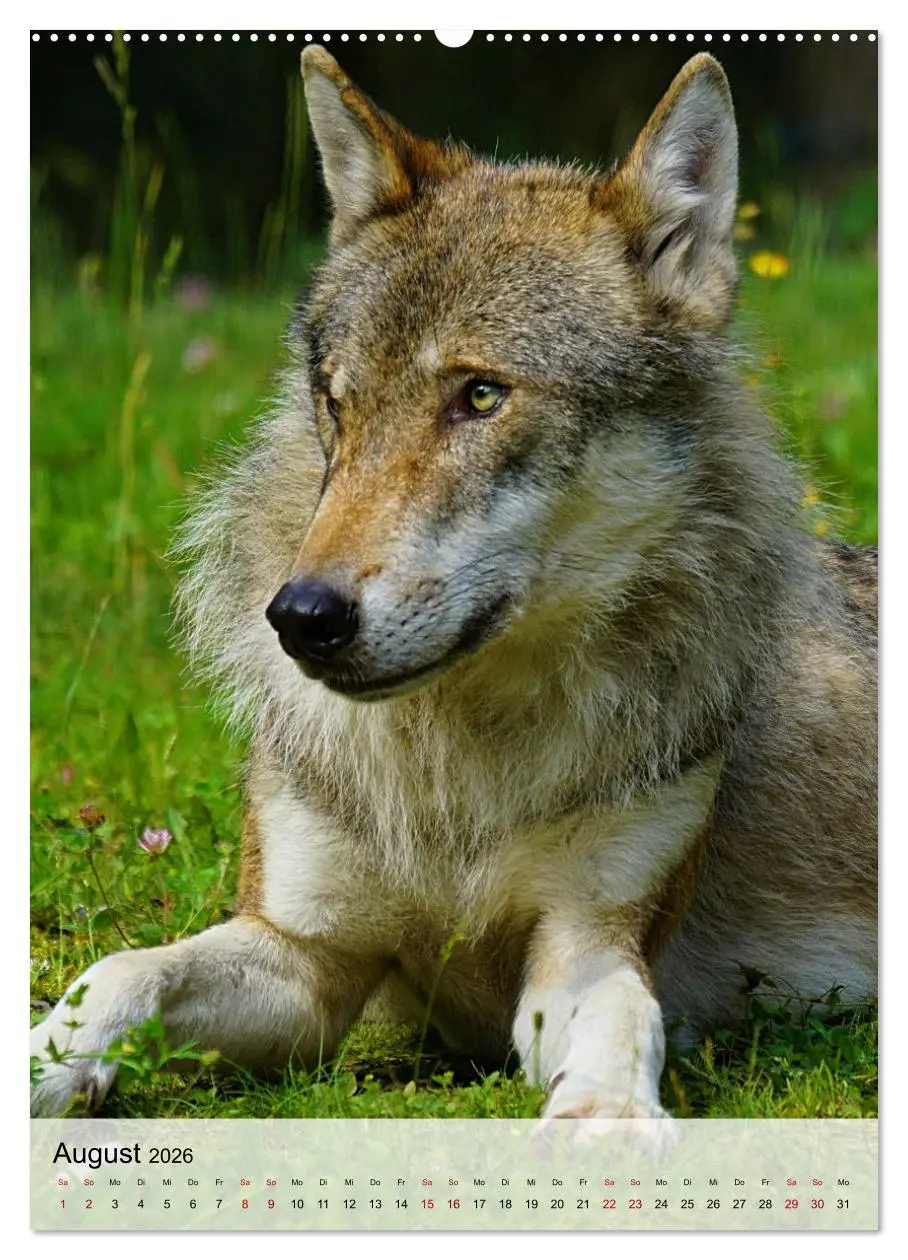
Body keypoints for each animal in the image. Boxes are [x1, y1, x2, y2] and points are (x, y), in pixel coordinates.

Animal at [31, 49, 877, 1120]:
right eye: (337, 405)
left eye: (480, 396)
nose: (301, 618)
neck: (458, 779)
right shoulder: (305, 959)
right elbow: (120, 975)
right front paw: (41, 1069)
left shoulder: (587, 944)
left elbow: (623, 1023)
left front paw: (605, 1123)